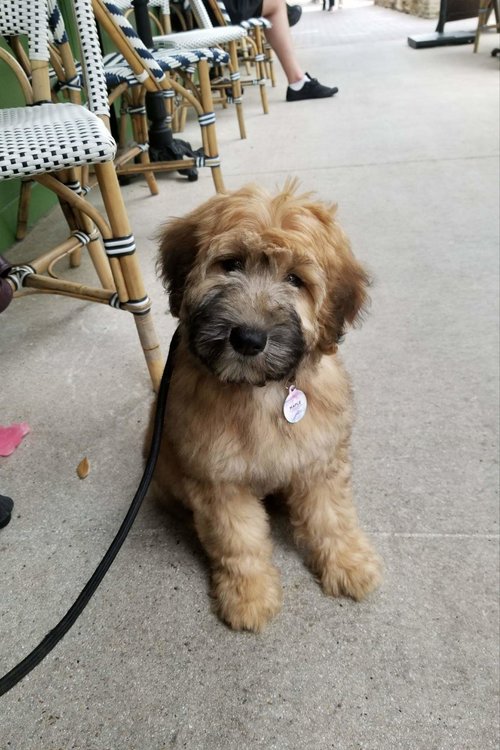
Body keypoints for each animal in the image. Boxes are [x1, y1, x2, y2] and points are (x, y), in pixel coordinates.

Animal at [150, 184, 380, 636]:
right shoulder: (217, 478)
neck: (258, 389)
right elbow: (238, 539)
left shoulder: (320, 458)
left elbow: (332, 517)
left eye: (295, 280)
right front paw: (249, 595)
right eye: (231, 264)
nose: (248, 338)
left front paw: (348, 562)